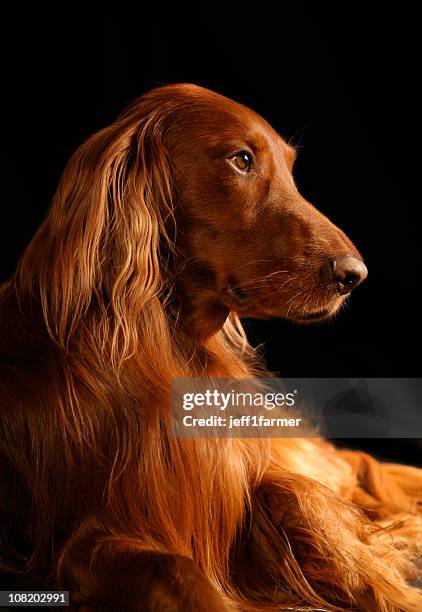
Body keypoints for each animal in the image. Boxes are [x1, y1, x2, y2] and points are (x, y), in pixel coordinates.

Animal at [0, 83, 420, 608]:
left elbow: (297, 499)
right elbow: (179, 570)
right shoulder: (81, 539)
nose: (354, 274)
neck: (165, 343)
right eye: (241, 159)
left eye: (289, 168)